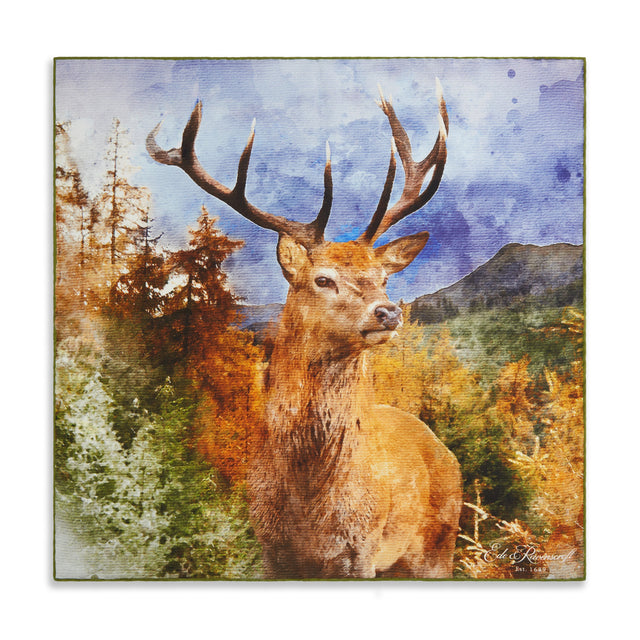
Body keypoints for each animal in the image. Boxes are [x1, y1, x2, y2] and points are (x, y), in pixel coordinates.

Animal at [147, 80, 463, 579]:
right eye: (323, 279)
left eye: (384, 277)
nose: (388, 312)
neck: (309, 507)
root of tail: (445, 451)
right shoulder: (270, 549)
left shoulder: (361, 552)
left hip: (437, 549)